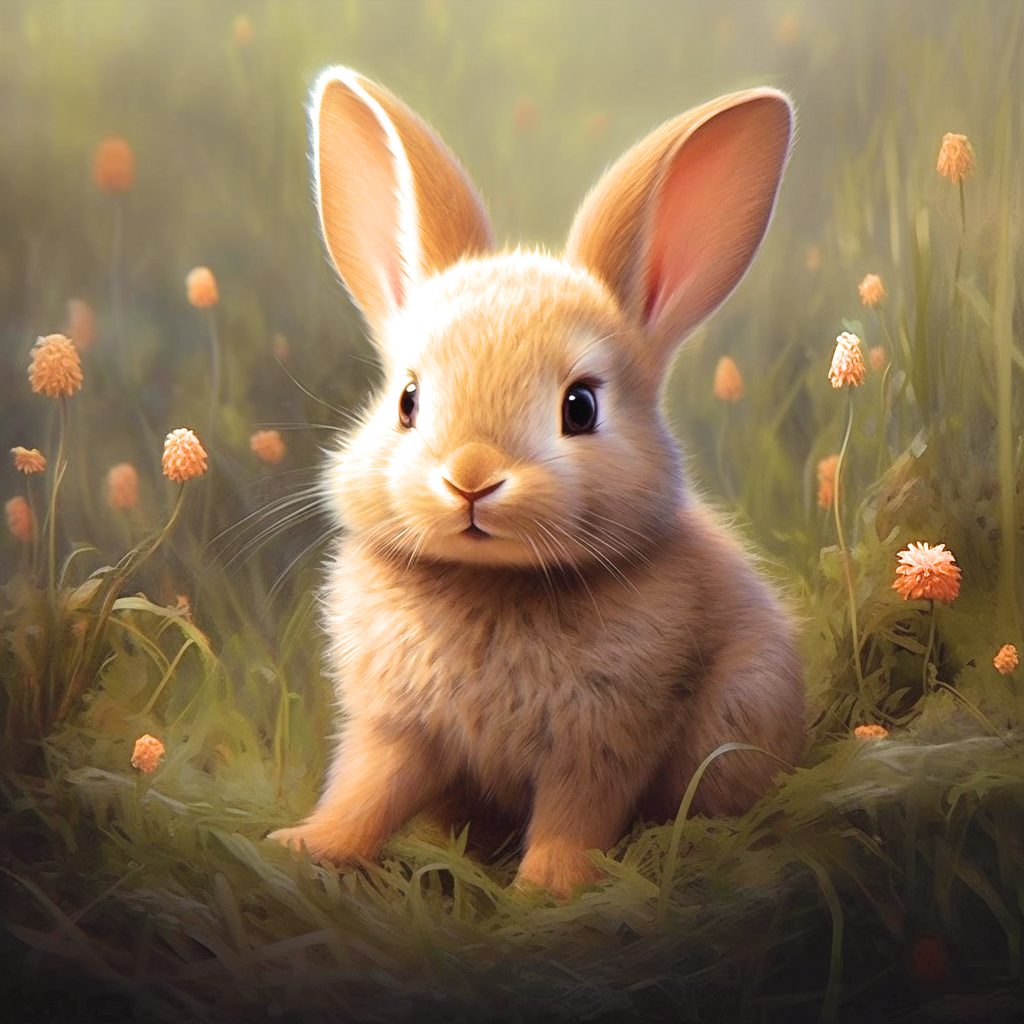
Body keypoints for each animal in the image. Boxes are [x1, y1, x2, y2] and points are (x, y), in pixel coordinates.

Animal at [269, 67, 805, 899]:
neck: (492, 581)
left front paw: (546, 892)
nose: (470, 477)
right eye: (407, 400)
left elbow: (574, 815)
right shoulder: (395, 727)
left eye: (579, 406)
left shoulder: (605, 735)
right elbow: (365, 790)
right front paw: (300, 847)